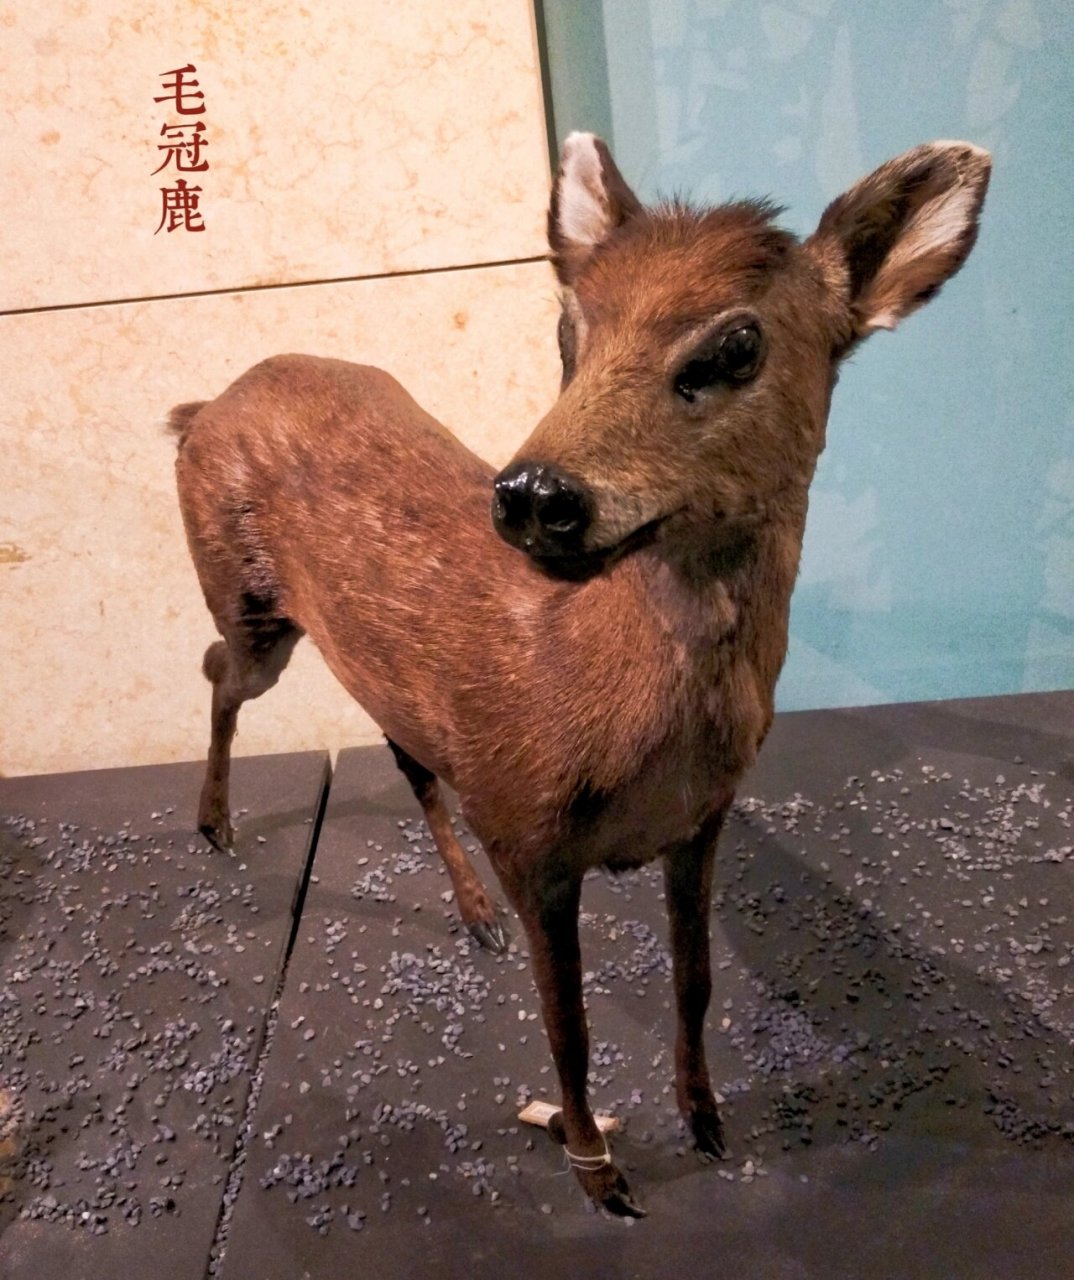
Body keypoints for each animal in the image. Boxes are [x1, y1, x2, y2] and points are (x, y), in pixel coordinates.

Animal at [172, 132, 990, 1215]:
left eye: (739, 343)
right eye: (571, 327)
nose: (532, 494)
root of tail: (202, 408)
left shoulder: (700, 821)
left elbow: (696, 980)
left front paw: (707, 1122)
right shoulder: (528, 836)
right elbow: (569, 1024)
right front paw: (601, 1174)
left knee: (402, 752)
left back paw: (468, 915)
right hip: (248, 603)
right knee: (221, 666)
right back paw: (215, 826)